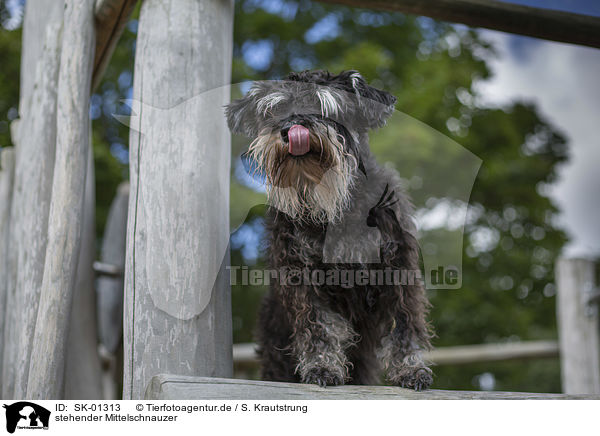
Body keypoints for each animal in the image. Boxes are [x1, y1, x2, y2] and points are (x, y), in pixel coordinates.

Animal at [225, 70, 432, 390]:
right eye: (274, 111)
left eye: (324, 107)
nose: (291, 129)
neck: (335, 207)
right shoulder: (303, 278)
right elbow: (319, 326)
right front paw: (322, 367)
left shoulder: (398, 269)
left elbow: (404, 325)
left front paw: (411, 369)